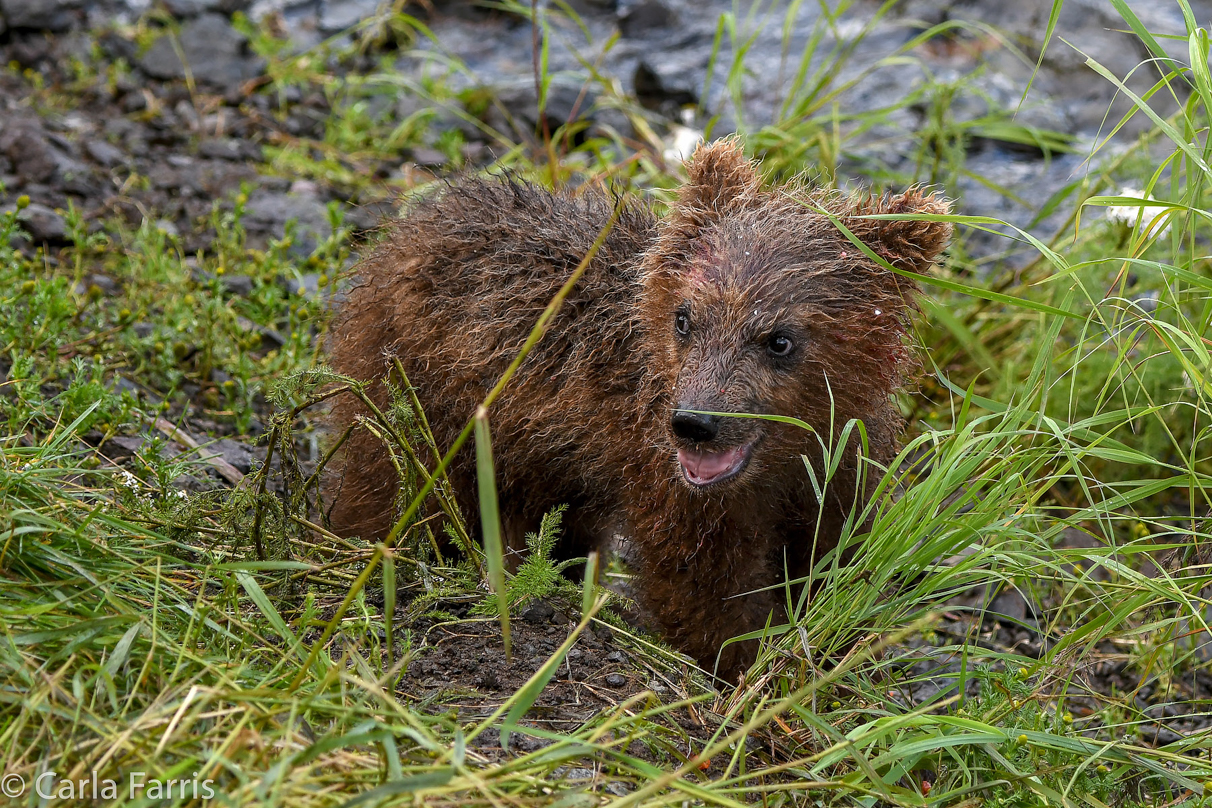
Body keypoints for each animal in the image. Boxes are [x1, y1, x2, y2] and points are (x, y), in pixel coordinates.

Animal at [327, 140, 950, 683]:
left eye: (779, 339)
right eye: (686, 318)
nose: (696, 423)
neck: (777, 460)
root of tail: (406, 228)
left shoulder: (839, 464)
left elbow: (828, 561)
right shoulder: (669, 478)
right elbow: (701, 592)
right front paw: (747, 670)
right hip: (414, 391)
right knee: (396, 492)